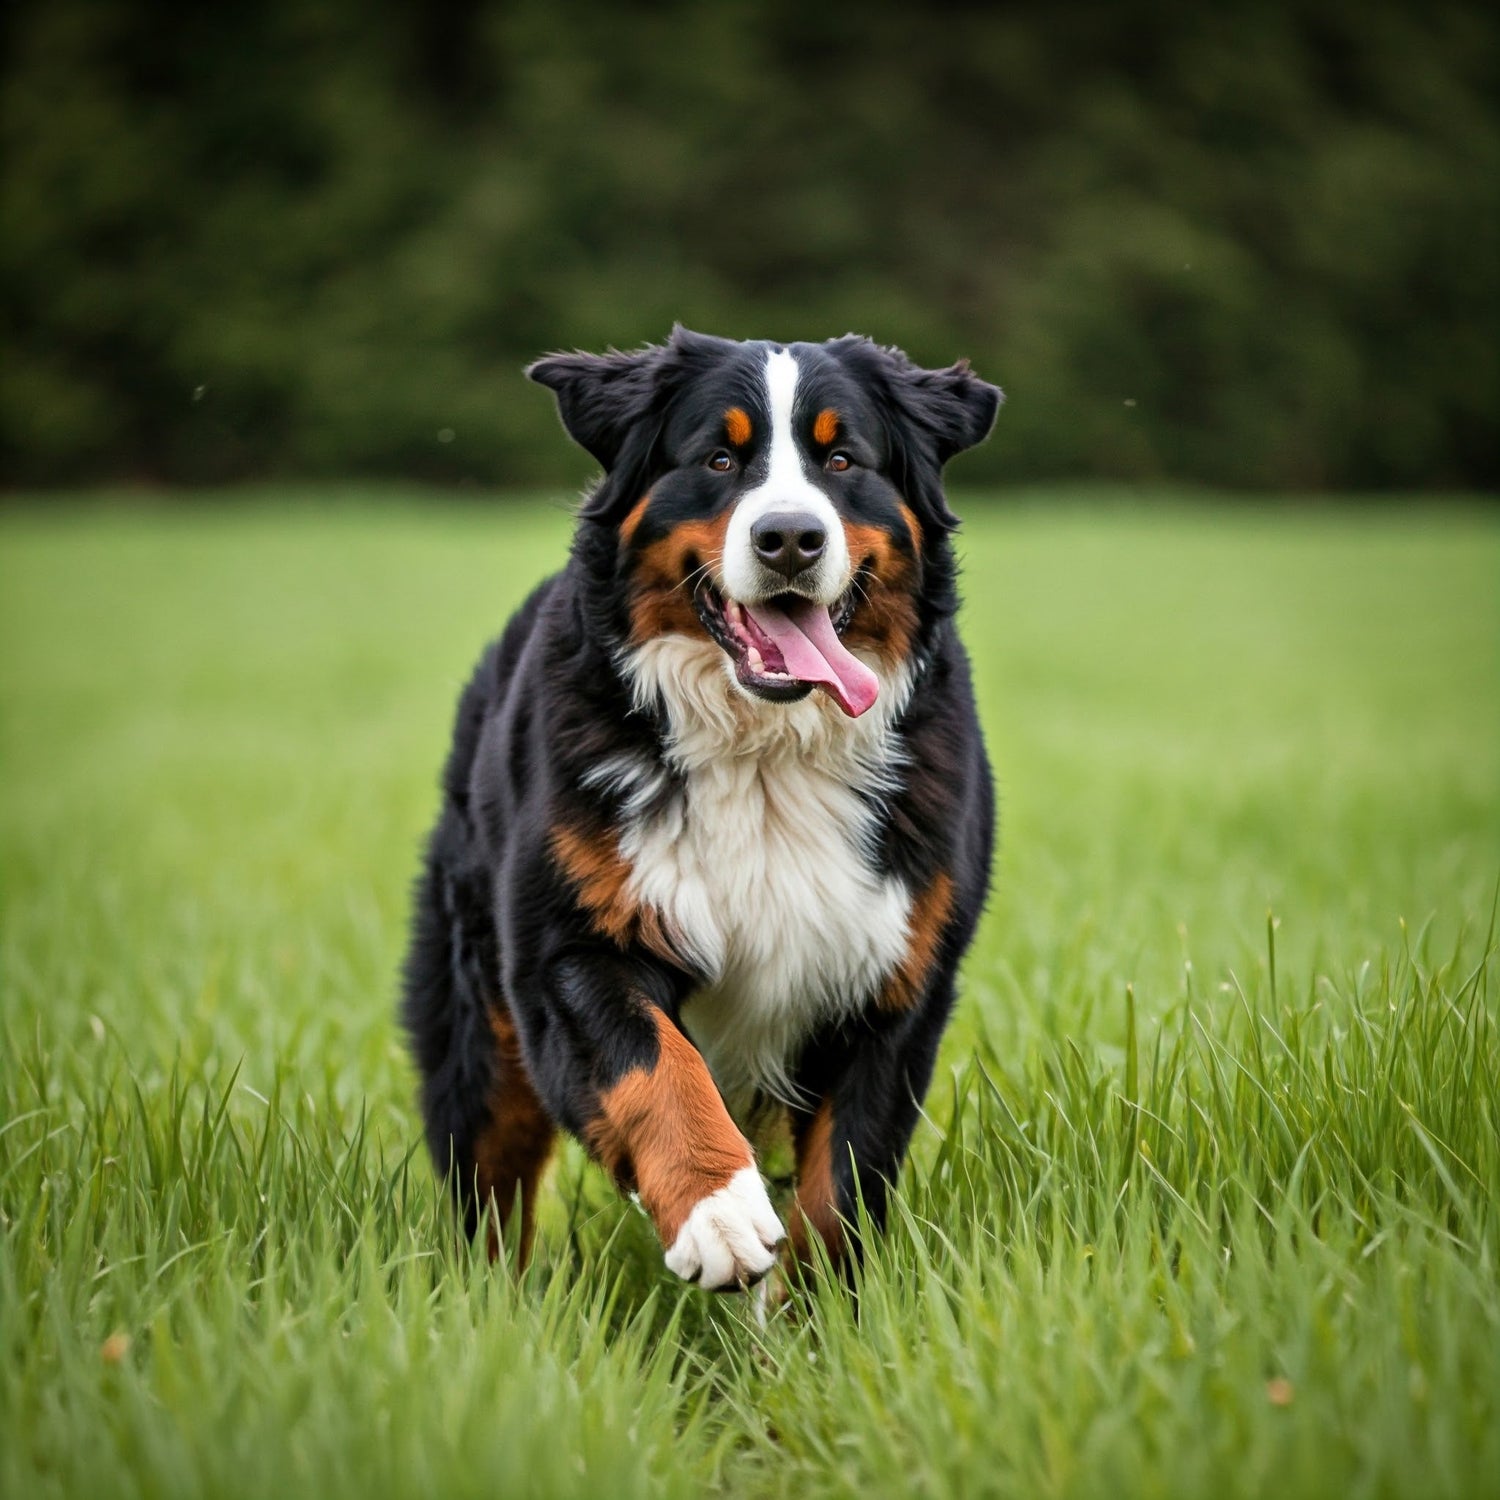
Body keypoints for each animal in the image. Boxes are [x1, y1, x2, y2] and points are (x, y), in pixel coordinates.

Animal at [405, 328, 1002, 1290]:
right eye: (720, 458)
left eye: (842, 459)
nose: (790, 536)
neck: (765, 752)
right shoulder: (569, 947)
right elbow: (660, 1068)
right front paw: (717, 1213)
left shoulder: (895, 984)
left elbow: (840, 1191)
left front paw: (814, 1311)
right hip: (476, 1021)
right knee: (488, 1193)